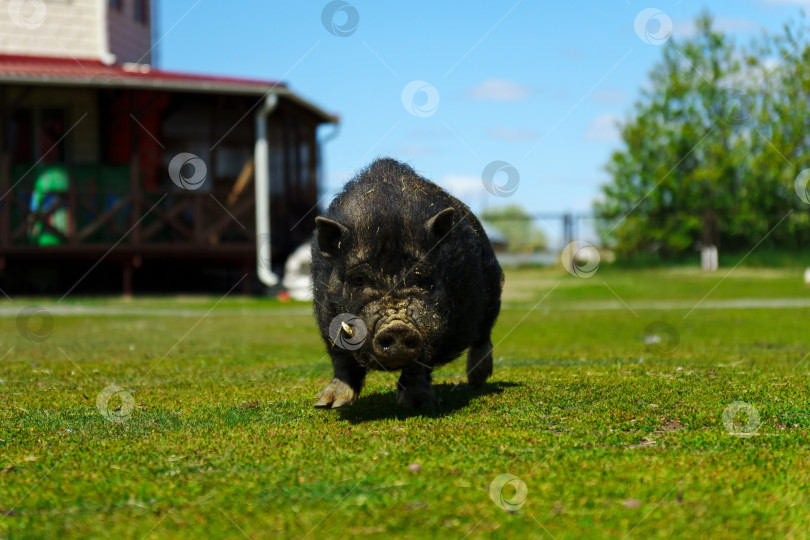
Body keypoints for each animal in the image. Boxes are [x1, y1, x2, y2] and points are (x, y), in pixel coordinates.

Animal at [308, 158, 498, 408]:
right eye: (359, 280)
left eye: (420, 278)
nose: (397, 327)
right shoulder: (325, 314)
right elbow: (342, 361)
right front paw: (327, 404)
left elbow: (419, 366)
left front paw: (416, 404)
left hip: (493, 290)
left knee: (483, 334)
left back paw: (477, 381)